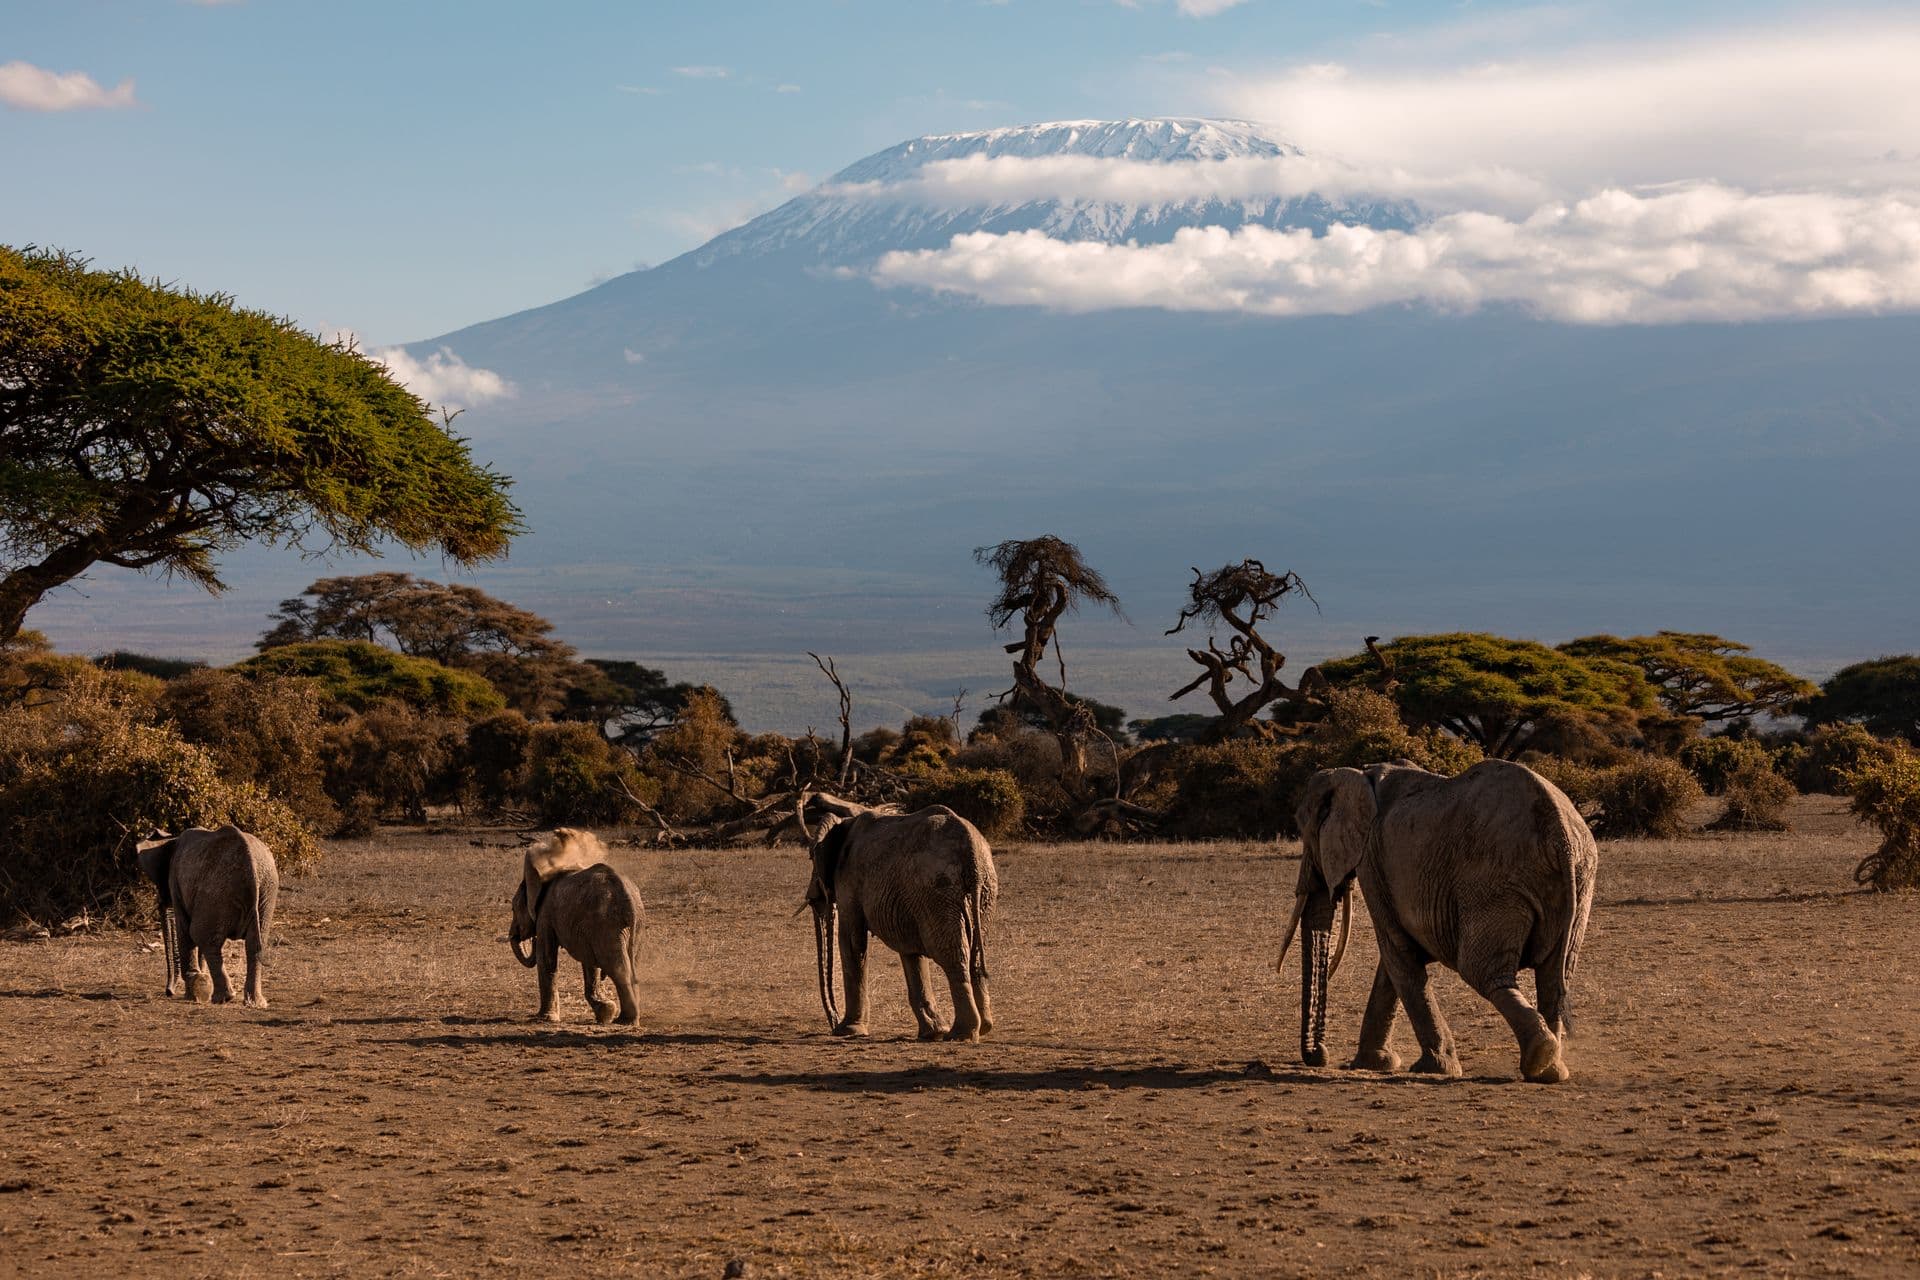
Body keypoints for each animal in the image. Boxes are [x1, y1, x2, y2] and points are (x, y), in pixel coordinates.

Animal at [137, 825, 279, 1008]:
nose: (169, 992)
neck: (172, 838)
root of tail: (251, 866)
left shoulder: (176, 881)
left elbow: (185, 930)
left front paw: (192, 993)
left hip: (217, 891)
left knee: (202, 936)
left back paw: (222, 998)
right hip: (266, 891)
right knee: (253, 944)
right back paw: (255, 1003)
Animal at [508, 828, 644, 1026]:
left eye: (513, 908)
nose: (531, 939)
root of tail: (629, 899)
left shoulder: (546, 914)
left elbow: (546, 958)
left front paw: (545, 1019)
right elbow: (590, 963)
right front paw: (605, 1012)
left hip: (608, 925)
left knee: (619, 968)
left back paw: (625, 1021)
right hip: (630, 926)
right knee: (631, 964)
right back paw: (626, 1019)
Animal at [803, 796, 997, 1042]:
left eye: (811, 856)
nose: (833, 1022)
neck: (845, 821)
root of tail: (971, 848)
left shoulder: (849, 880)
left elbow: (851, 941)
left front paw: (847, 1031)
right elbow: (910, 951)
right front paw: (932, 1033)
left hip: (937, 888)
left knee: (951, 955)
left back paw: (960, 1034)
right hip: (982, 890)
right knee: (974, 953)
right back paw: (983, 1028)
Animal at [1282, 759, 1597, 1084]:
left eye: (1306, 832)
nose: (1319, 1056)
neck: (1358, 775)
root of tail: (1559, 833)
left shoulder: (1371, 860)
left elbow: (1397, 952)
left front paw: (1434, 1068)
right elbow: (1393, 962)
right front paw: (1375, 1063)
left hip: (1493, 883)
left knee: (1482, 971)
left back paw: (1539, 1056)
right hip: (1579, 879)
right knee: (1554, 976)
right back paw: (1551, 1070)